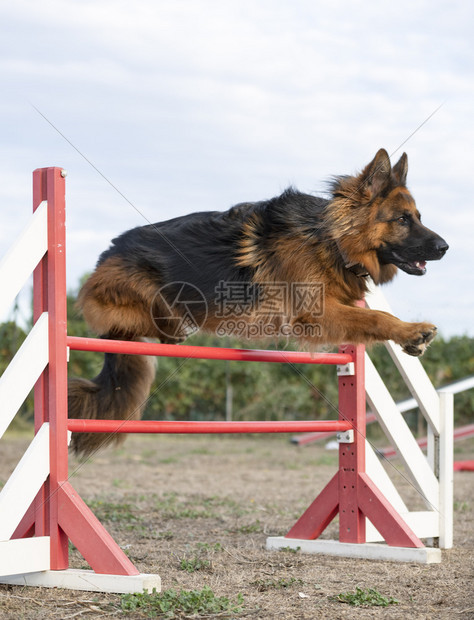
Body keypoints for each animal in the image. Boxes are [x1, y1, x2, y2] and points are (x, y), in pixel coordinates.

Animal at [69, 147, 448, 452]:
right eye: (402, 219)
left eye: (418, 217)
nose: (445, 247)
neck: (329, 238)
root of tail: (106, 255)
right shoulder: (314, 315)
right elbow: (375, 318)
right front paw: (412, 331)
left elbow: (366, 322)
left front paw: (408, 339)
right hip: (143, 295)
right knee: (160, 322)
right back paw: (175, 327)